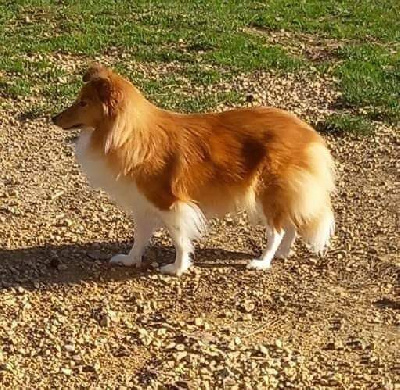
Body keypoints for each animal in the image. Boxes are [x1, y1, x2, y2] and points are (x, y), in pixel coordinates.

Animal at [52, 64, 334, 276]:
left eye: (83, 103)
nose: (53, 118)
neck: (130, 133)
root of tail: (308, 133)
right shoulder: (143, 203)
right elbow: (140, 237)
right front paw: (130, 260)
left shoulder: (169, 203)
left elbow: (179, 239)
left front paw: (177, 268)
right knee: (290, 223)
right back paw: (284, 253)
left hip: (266, 191)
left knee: (277, 230)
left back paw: (262, 261)